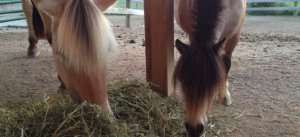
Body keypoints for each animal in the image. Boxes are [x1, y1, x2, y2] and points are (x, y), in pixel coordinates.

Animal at [173, 0, 246, 136]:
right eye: (182, 81)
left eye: (214, 83)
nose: (194, 129)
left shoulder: (234, 36)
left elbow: (226, 65)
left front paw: (225, 96)